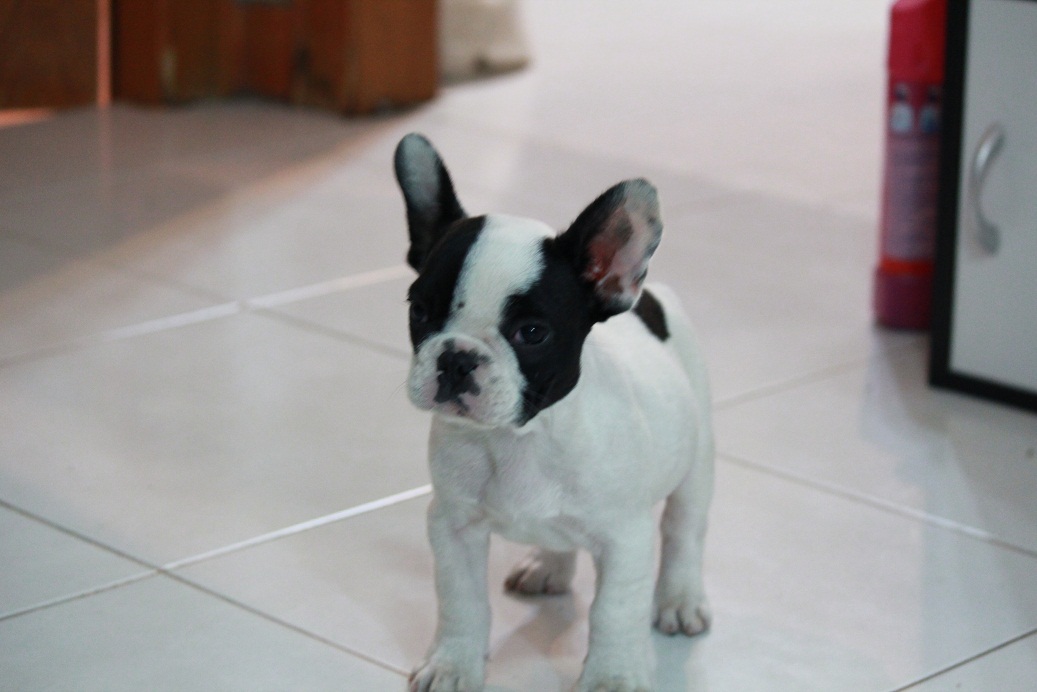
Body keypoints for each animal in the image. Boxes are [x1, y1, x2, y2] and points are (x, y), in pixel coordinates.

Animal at [394, 133, 714, 692]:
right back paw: (548, 566)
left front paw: (612, 677)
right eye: (420, 310)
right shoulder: (453, 526)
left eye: (532, 333)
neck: (521, 439)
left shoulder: (625, 539)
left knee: (683, 531)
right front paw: (453, 663)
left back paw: (679, 598)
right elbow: (460, 601)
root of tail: (649, 295)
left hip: (697, 462)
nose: (457, 358)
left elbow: (613, 612)